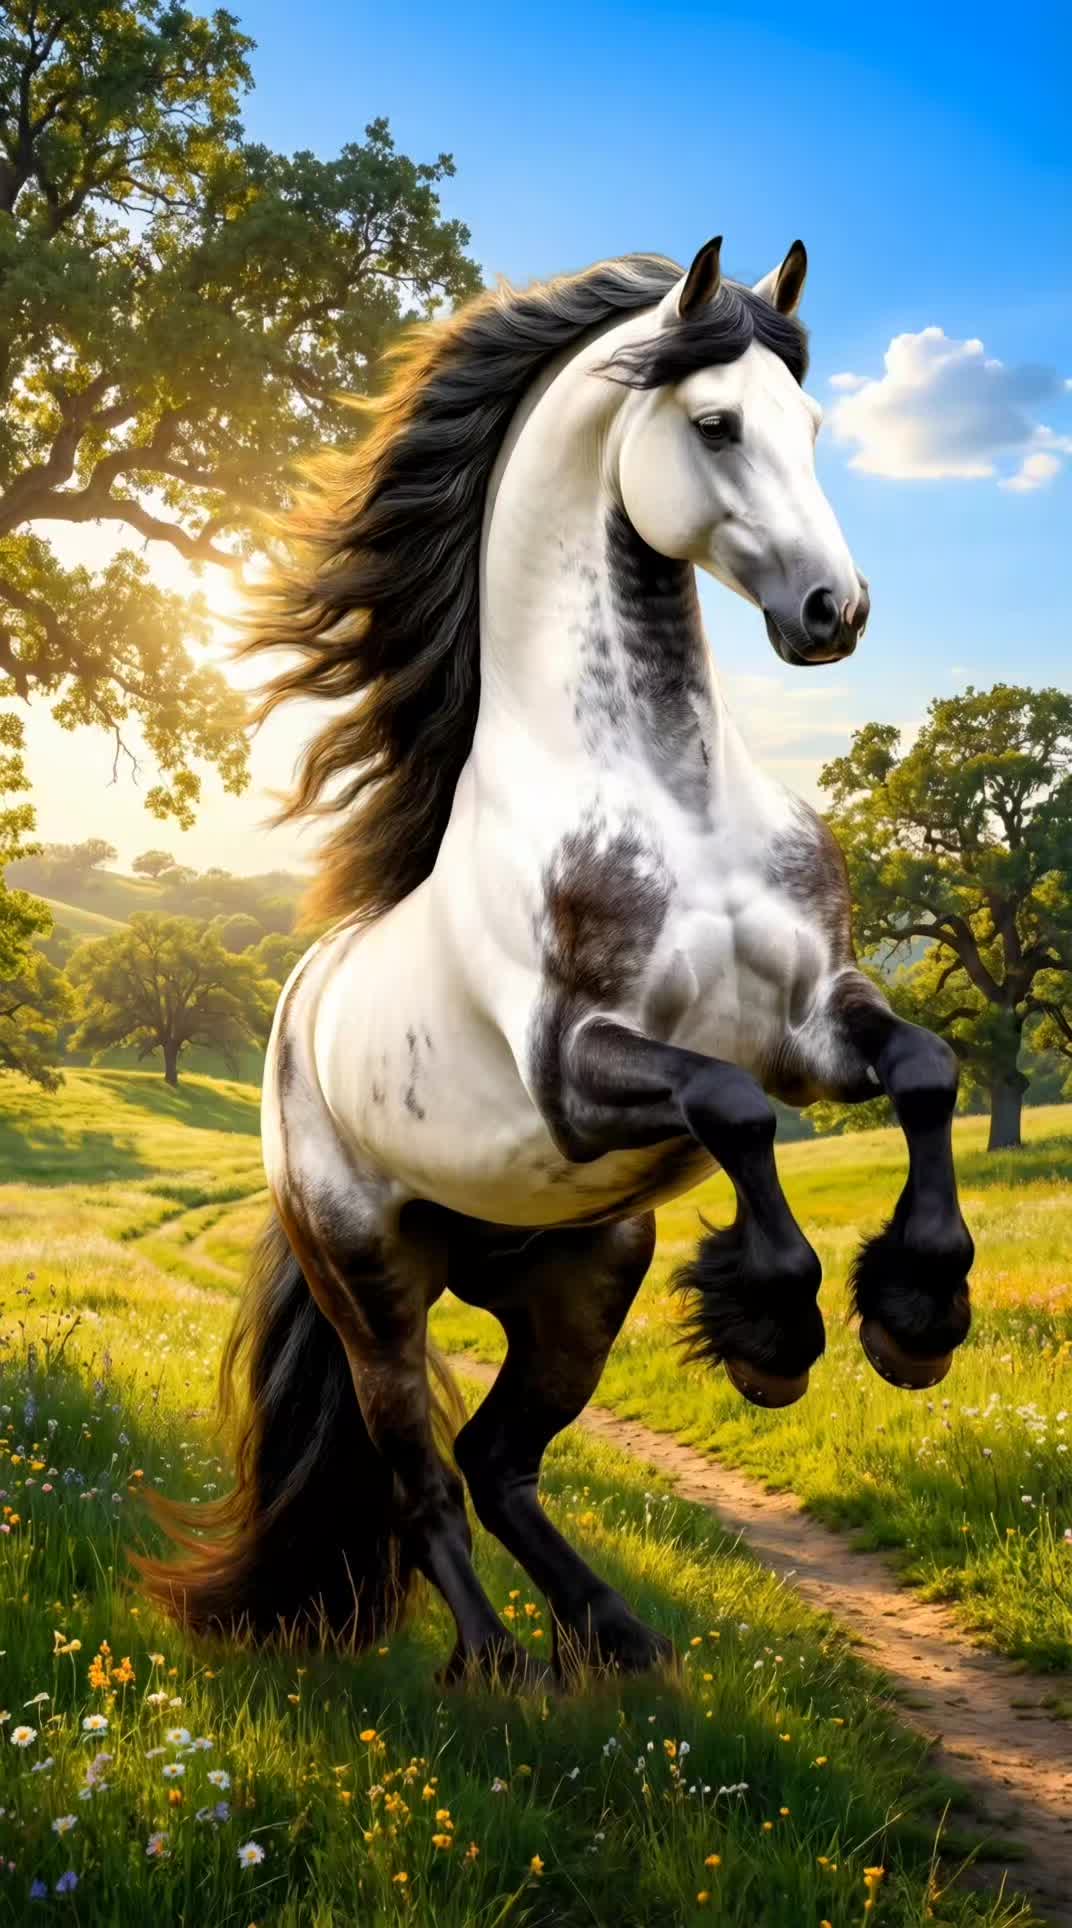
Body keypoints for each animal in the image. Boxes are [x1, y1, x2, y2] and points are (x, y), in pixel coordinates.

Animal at [140, 237, 975, 1687]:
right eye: (716, 424)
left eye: (815, 423)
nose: (835, 612)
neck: (673, 799)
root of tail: (299, 1006)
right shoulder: (576, 1072)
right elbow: (730, 1105)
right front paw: (774, 1331)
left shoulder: (820, 1022)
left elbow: (922, 1070)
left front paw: (915, 1312)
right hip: (372, 1281)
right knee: (421, 1474)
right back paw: (492, 1669)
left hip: (580, 1277)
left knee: (500, 1461)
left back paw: (623, 1640)